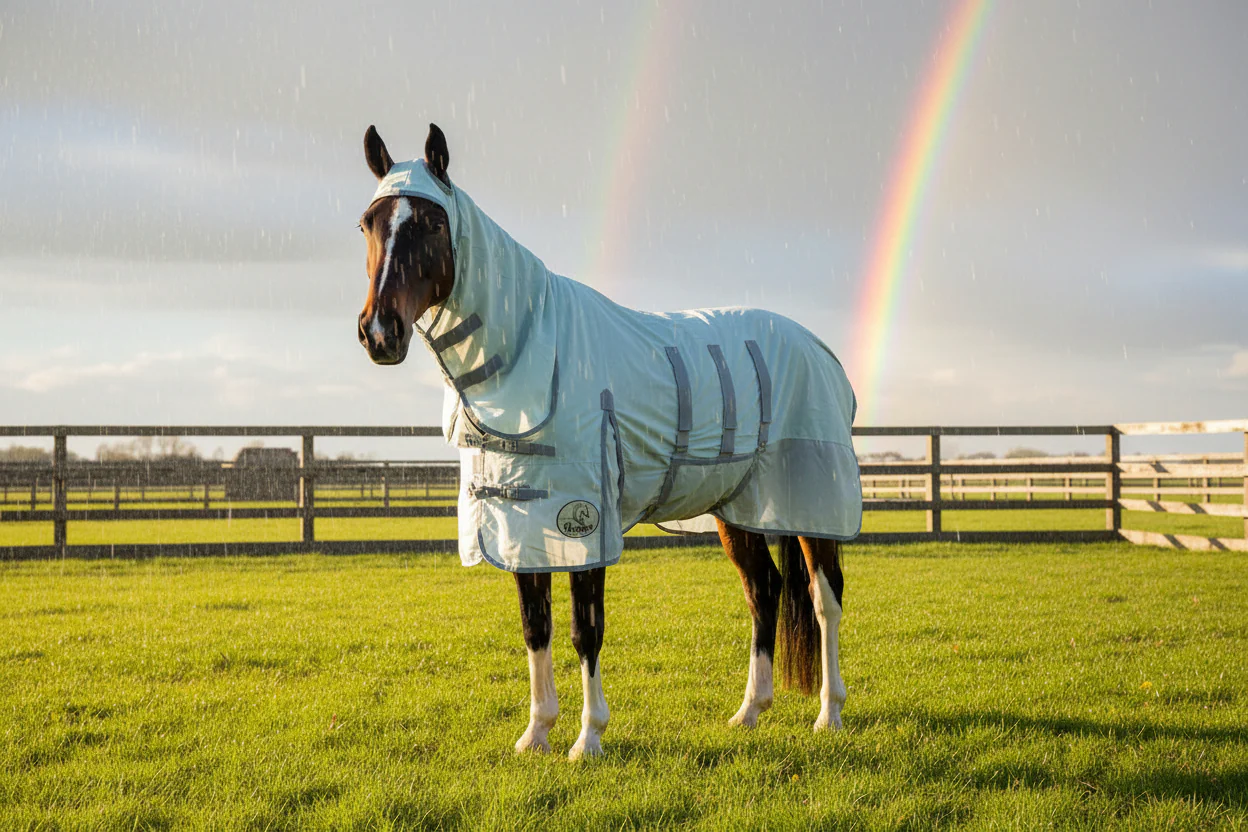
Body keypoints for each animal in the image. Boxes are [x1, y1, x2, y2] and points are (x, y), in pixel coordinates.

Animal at [355, 123, 861, 760]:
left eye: (431, 224)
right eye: (367, 223)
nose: (379, 332)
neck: (532, 350)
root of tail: (818, 349)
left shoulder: (583, 521)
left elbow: (584, 629)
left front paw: (588, 738)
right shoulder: (522, 522)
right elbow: (535, 626)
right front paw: (536, 733)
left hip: (813, 504)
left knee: (825, 599)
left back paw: (829, 714)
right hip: (737, 509)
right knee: (763, 591)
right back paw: (748, 712)